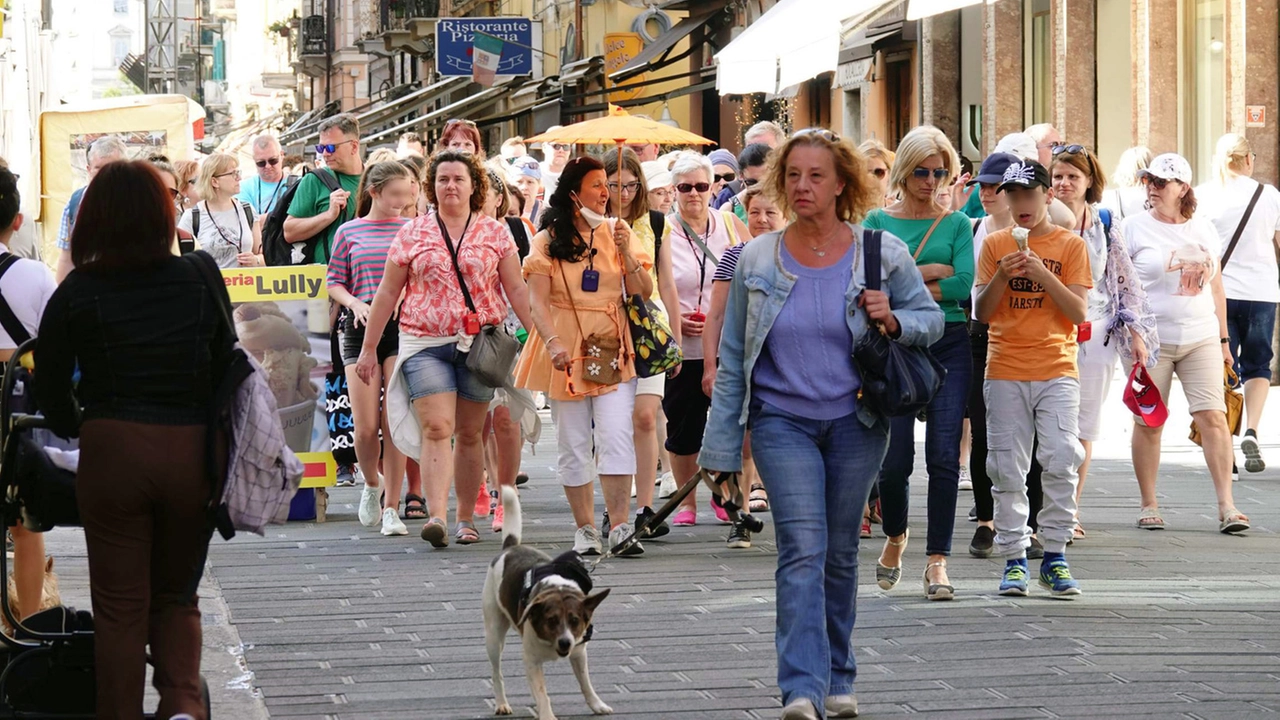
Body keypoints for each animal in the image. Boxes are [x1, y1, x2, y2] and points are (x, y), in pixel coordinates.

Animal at [483, 484, 614, 712]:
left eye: (575, 621)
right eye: (550, 620)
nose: (565, 643)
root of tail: (510, 547)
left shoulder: (579, 653)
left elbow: (585, 683)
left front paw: (596, 704)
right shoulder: (532, 662)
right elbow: (543, 696)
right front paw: (547, 714)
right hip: (493, 635)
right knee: (496, 672)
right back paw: (501, 703)